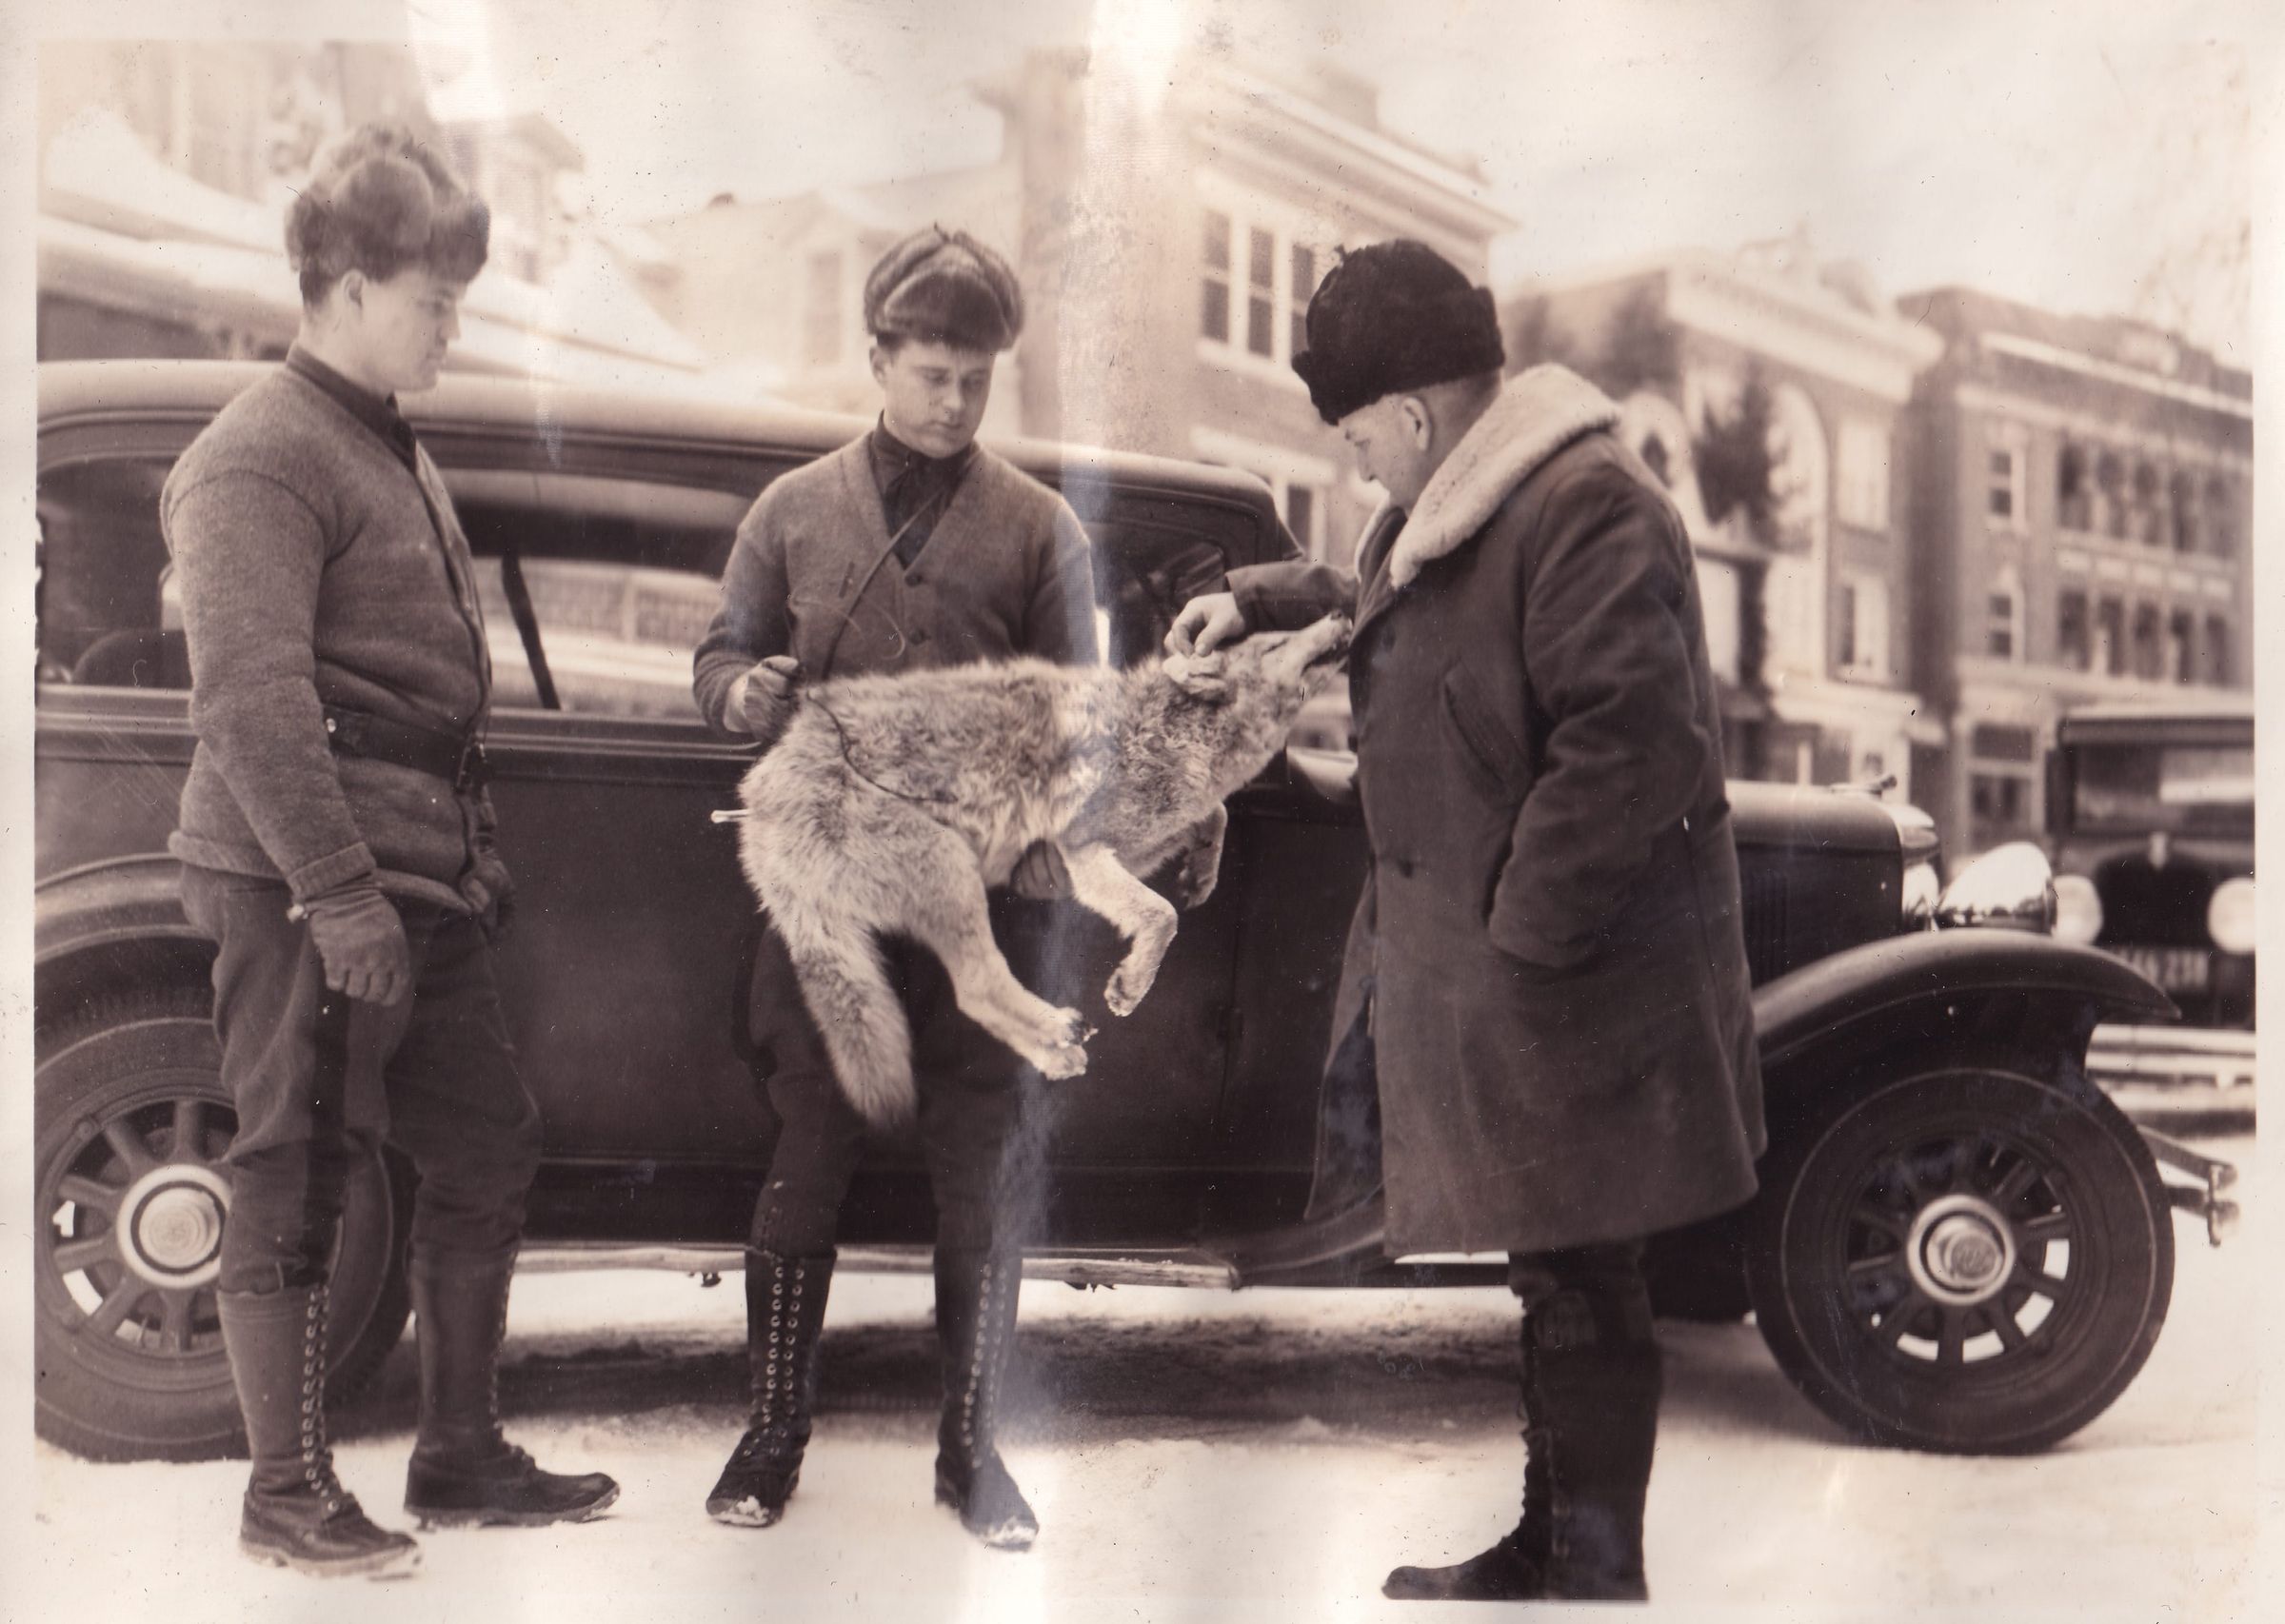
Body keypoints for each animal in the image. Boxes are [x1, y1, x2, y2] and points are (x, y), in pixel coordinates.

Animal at [735, 612, 1352, 1125]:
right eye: (1275, 642)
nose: (1343, 612)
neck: (1166, 734)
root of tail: (758, 802)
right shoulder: (1082, 851)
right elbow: (1163, 917)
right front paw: (1131, 986)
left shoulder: (1134, 845)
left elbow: (1215, 819)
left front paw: (1202, 873)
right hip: (951, 869)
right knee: (978, 989)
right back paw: (1058, 1030)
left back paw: (1056, 1055)